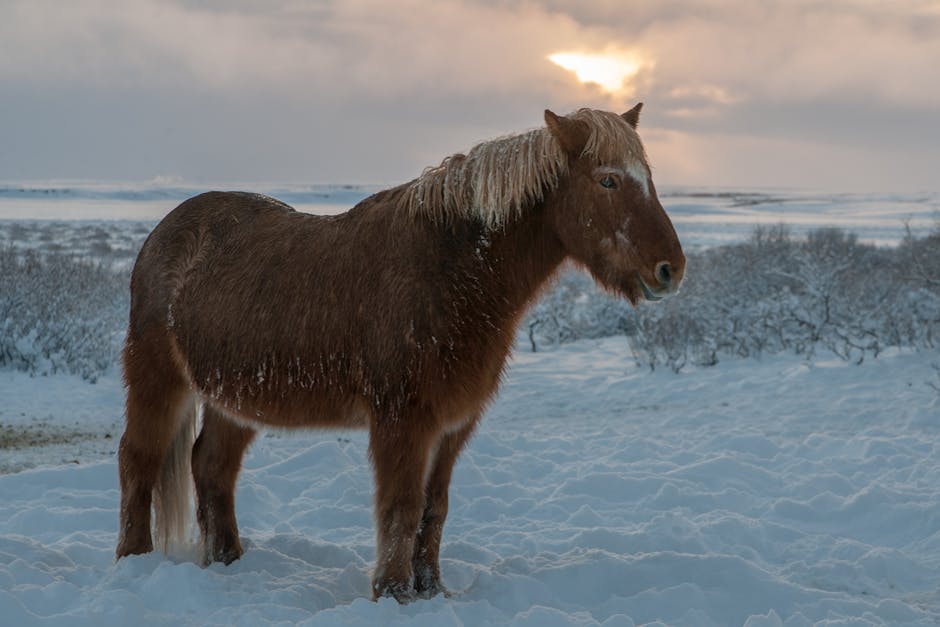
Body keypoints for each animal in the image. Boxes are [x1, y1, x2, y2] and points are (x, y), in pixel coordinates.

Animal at [117, 104, 688, 604]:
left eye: (648, 177)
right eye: (608, 180)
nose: (671, 269)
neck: (452, 271)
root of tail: (165, 233)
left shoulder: (453, 425)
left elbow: (434, 509)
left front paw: (431, 590)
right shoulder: (402, 420)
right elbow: (400, 506)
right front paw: (392, 593)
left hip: (231, 398)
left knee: (213, 467)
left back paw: (229, 563)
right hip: (158, 379)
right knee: (139, 458)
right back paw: (133, 560)